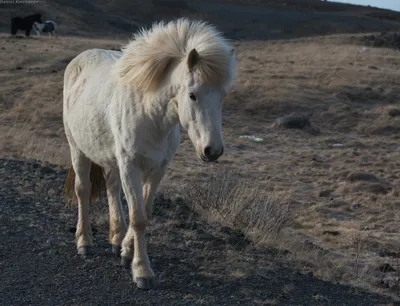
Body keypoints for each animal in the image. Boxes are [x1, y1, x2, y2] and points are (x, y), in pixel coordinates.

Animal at [62, 17, 236, 290]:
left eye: (222, 96)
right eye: (192, 95)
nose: (213, 150)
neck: (150, 113)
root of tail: (79, 60)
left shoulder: (158, 169)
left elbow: (146, 211)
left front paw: (126, 251)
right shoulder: (130, 166)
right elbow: (138, 218)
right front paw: (141, 271)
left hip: (112, 159)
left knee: (112, 188)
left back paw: (115, 238)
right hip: (77, 149)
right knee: (83, 190)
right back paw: (84, 242)